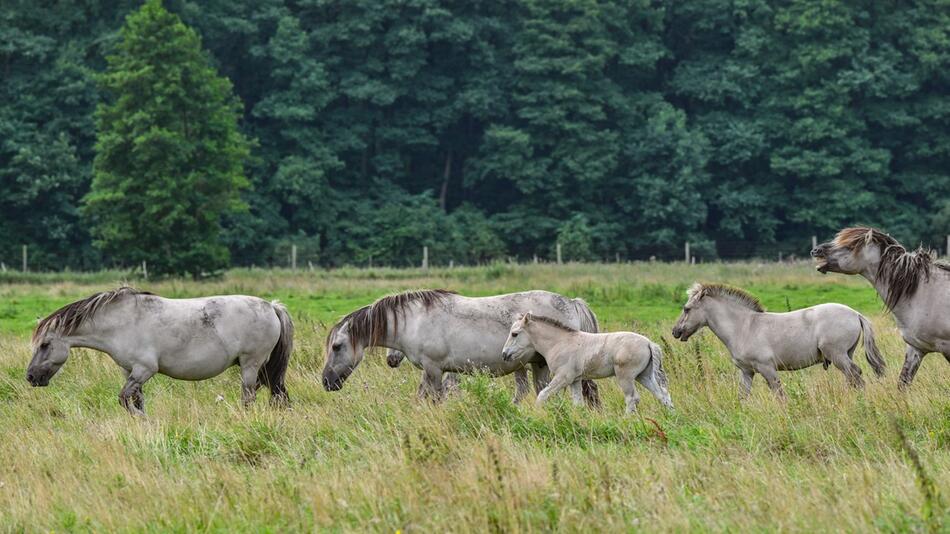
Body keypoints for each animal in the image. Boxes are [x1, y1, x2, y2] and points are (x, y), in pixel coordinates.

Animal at [27, 286, 294, 416]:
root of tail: (272, 307)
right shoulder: (130, 372)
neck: (121, 321)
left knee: (248, 397)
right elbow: (136, 400)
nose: (30, 377)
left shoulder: (145, 369)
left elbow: (124, 399)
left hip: (250, 365)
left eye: (44, 345)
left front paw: (142, 419)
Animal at [322, 288, 604, 406]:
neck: (416, 320)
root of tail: (573, 302)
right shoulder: (436, 371)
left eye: (336, 347)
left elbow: (433, 398)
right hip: (538, 365)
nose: (326, 381)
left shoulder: (434, 369)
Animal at [502, 314, 672, 414]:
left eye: (515, 334)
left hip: (626, 377)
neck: (560, 342)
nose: (504, 354)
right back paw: (671, 416)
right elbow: (578, 403)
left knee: (632, 398)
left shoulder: (563, 377)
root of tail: (649, 343)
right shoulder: (575, 380)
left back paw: (626, 420)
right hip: (644, 376)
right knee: (662, 394)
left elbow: (542, 395)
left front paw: (538, 414)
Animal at [668, 282, 884, 400]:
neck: (744, 327)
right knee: (852, 378)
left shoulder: (767, 369)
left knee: (856, 375)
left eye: (686, 309)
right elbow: (742, 396)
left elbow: (780, 395)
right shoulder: (746, 372)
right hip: (846, 354)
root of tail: (856, 314)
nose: (675, 331)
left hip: (837, 355)